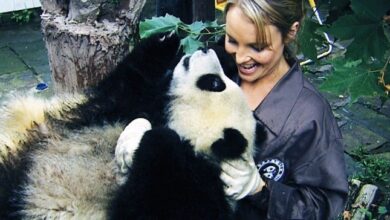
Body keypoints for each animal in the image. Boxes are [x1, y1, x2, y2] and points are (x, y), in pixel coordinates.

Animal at [0, 31, 266, 219]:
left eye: (214, 83)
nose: (203, 49)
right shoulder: (126, 105)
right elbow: (130, 82)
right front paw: (169, 39)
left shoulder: (196, 186)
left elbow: (147, 209)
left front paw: (159, 140)